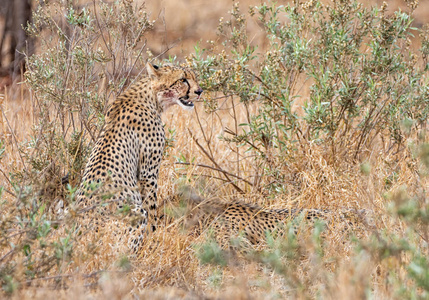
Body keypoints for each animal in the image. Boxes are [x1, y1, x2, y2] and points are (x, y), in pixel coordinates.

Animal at [75, 62, 202, 251]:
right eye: (183, 80)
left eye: (193, 77)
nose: (199, 91)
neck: (152, 98)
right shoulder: (147, 174)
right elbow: (151, 208)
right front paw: (155, 239)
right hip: (135, 213)